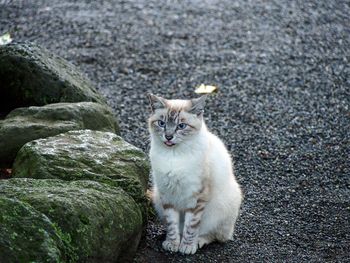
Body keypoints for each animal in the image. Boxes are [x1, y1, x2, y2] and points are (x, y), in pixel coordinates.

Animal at [146, 94, 242, 255]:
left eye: (181, 126)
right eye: (161, 123)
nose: (168, 136)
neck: (173, 155)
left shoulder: (197, 196)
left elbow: (191, 226)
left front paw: (187, 246)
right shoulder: (167, 195)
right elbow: (172, 224)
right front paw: (172, 243)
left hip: (220, 209)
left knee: (215, 236)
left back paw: (198, 241)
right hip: (157, 198)